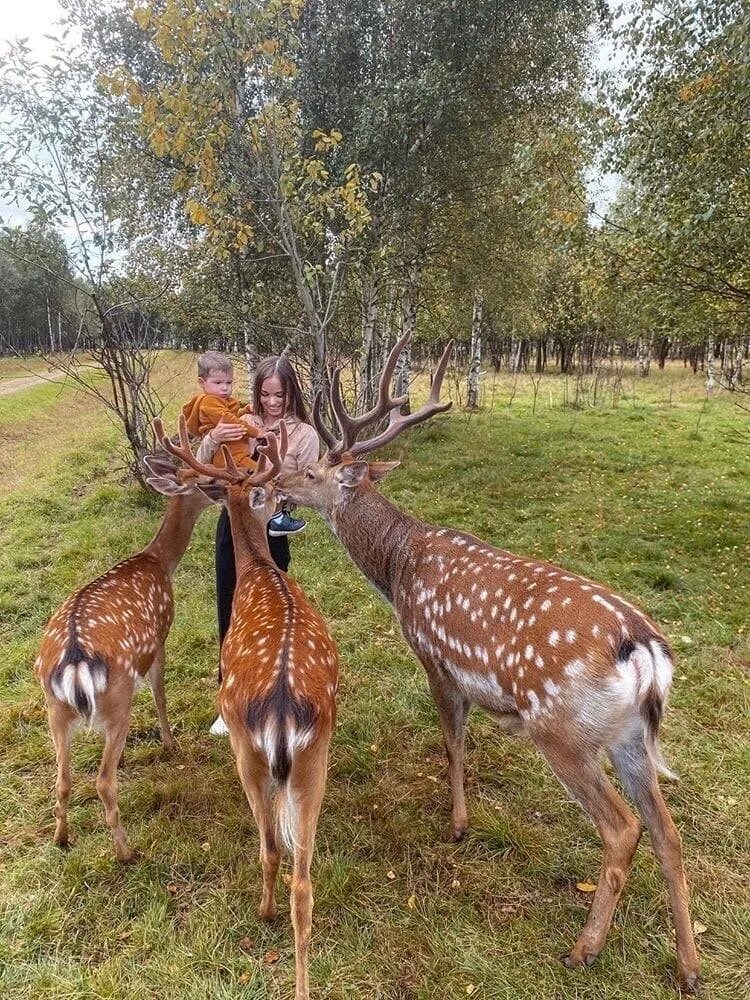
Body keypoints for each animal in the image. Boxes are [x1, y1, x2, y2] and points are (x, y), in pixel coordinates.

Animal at [35, 458, 212, 860]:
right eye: (204, 480)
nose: (224, 493)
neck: (158, 561)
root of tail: (74, 662)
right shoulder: (159, 637)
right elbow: (160, 694)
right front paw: (170, 743)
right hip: (118, 700)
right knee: (102, 781)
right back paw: (125, 853)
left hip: (55, 710)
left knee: (62, 779)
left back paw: (61, 838)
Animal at [152, 414, 338, 1000]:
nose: (284, 504)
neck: (259, 571)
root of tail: (280, 711)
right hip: (315, 756)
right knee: (304, 878)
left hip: (249, 752)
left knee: (270, 848)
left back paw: (263, 912)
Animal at [278, 334, 704, 992]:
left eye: (310, 471)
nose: (273, 485)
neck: (397, 570)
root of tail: (645, 652)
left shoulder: (434, 657)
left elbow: (452, 742)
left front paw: (457, 824)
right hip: (631, 737)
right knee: (669, 833)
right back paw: (688, 967)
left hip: (562, 730)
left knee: (623, 828)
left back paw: (583, 950)